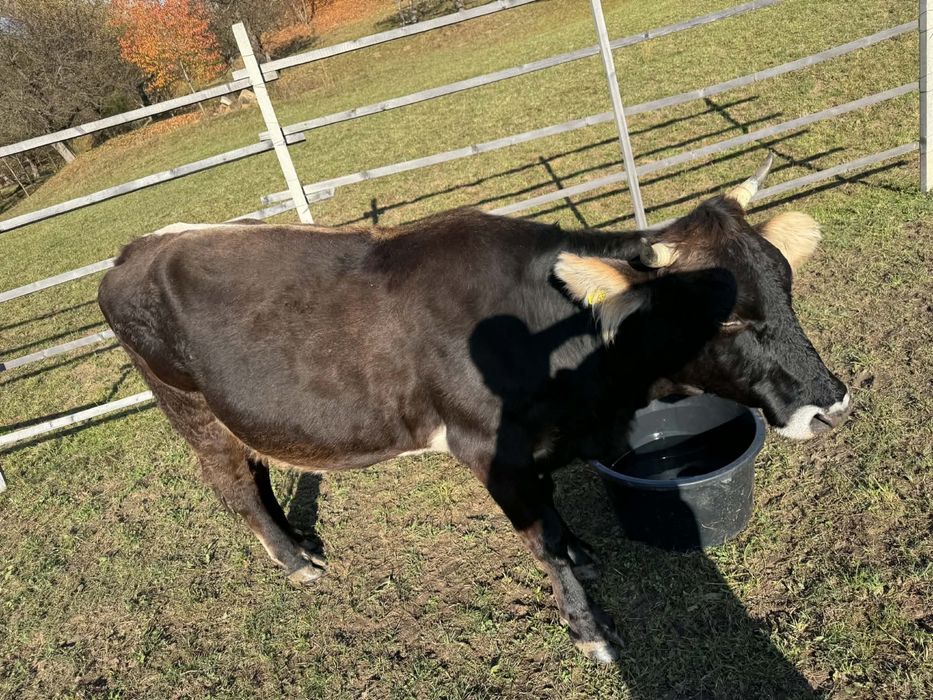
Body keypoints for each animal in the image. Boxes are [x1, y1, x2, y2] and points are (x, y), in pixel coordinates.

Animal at [97, 156, 850, 663]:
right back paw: (294, 561)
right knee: (235, 486)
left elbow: (556, 516)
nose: (831, 405)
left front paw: (584, 553)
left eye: (785, 284)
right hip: (192, 411)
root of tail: (138, 248)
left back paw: (304, 543)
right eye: (725, 320)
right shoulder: (489, 451)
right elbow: (540, 542)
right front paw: (591, 632)